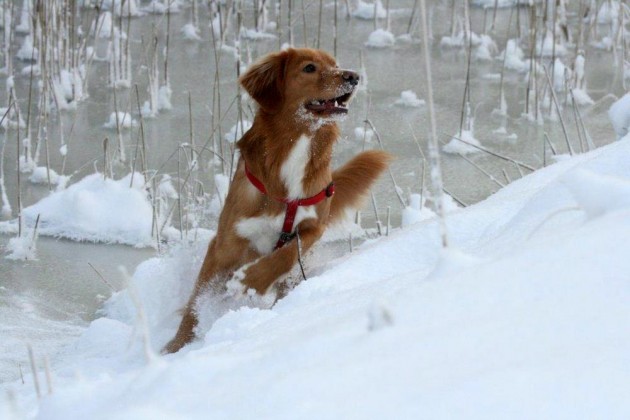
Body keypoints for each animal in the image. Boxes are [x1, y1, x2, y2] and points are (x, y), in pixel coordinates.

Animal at [163, 47, 390, 352]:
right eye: (309, 68)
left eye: (335, 64)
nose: (353, 76)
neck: (298, 143)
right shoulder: (224, 245)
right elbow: (195, 303)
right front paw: (175, 347)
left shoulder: (313, 227)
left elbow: (285, 255)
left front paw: (250, 281)